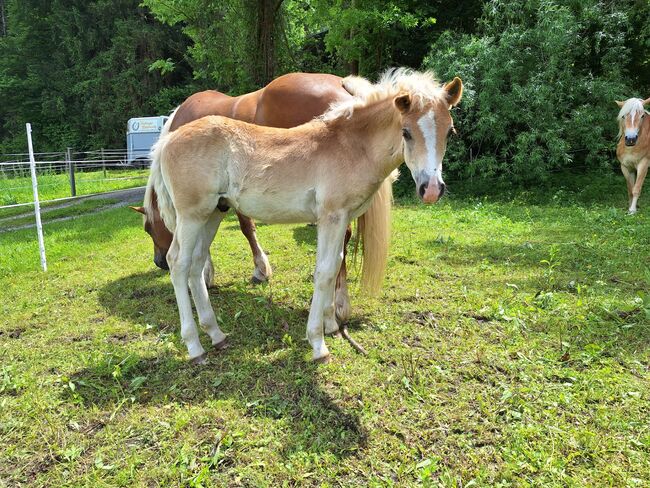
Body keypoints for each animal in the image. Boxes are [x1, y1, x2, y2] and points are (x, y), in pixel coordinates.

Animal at [129, 72, 388, 324]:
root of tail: (343, 86)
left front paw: (244, 270)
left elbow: (244, 228)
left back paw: (339, 303)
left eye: (149, 229)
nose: (159, 262)